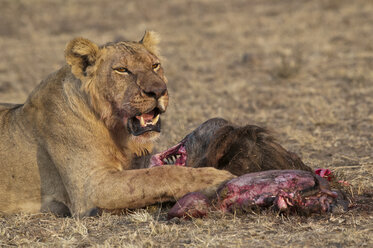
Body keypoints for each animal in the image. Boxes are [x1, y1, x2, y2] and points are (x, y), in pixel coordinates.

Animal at [0, 31, 232, 217]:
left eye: (155, 65)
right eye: (122, 70)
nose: (159, 91)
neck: (117, 132)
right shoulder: (90, 188)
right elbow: (157, 175)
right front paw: (215, 177)